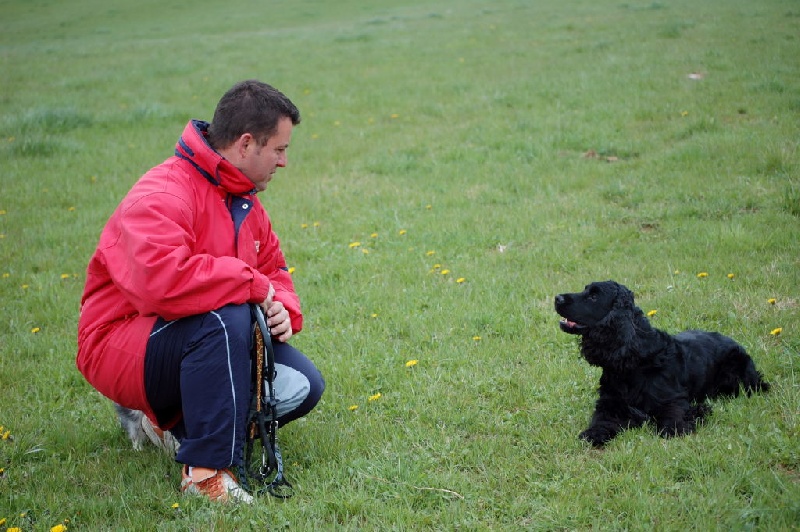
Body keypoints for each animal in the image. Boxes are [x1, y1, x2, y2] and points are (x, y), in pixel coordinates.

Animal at [556, 280, 768, 446]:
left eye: (594, 296)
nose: (557, 297)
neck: (634, 360)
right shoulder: (609, 403)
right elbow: (601, 421)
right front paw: (592, 434)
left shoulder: (672, 400)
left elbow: (672, 419)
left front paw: (680, 424)